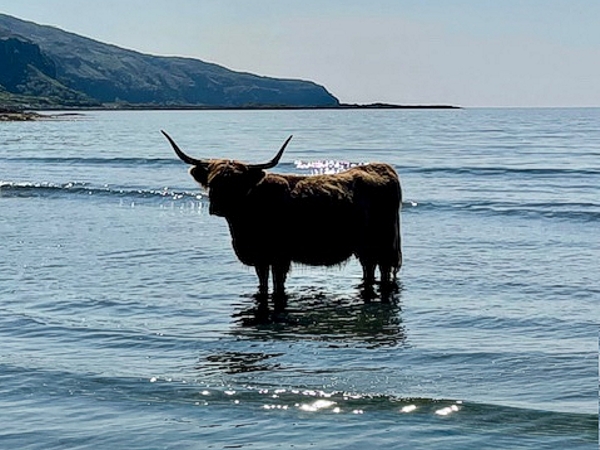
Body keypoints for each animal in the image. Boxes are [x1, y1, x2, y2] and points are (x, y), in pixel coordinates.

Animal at [162, 131, 400, 296]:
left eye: (237, 184)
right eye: (212, 182)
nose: (217, 207)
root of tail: (383, 168)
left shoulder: (279, 257)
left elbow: (277, 287)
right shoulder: (261, 259)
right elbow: (263, 284)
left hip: (384, 245)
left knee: (384, 272)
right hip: (366, 248)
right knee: (369, 269)